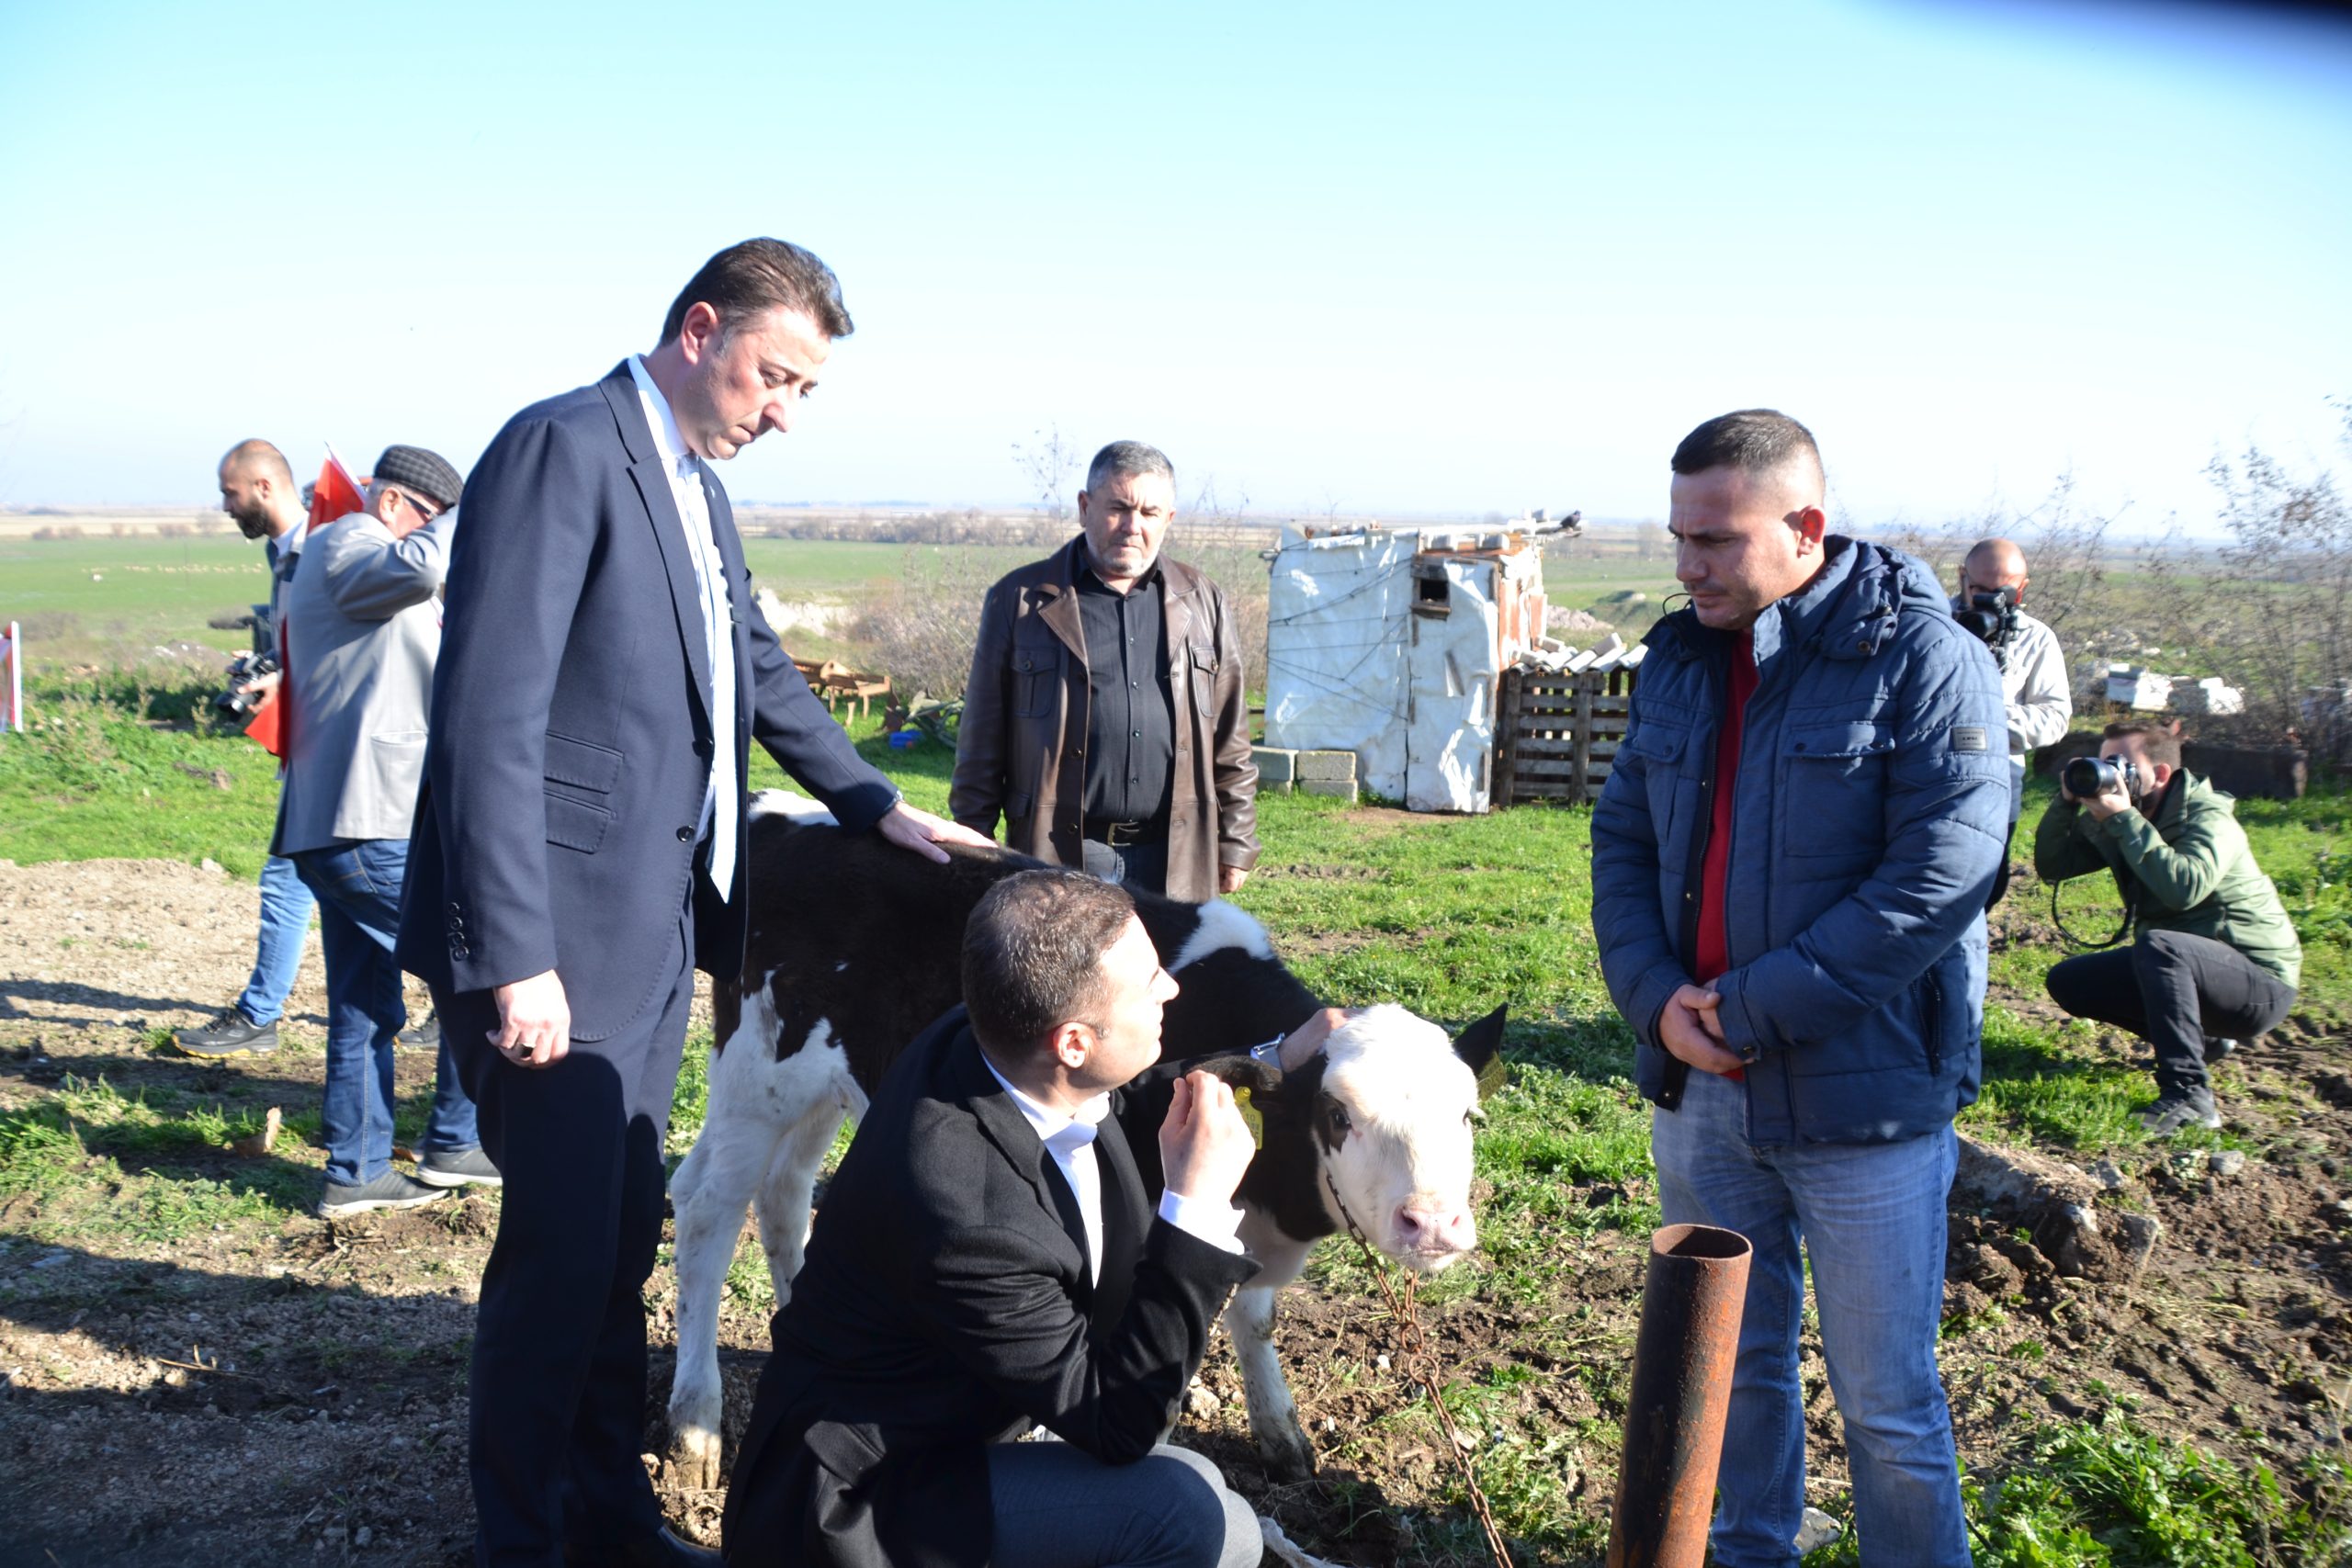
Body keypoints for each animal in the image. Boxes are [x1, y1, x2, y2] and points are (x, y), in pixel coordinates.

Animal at [662, 789, 1505, 1495]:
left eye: (1467, 1115)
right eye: (1338, 1115)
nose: (1433, 1222)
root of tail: (776, 812)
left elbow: (1255, 1317)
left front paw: (1281, 1434)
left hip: (823, 1086)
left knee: (781, 1193)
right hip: (758, 1075)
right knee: (707, 1208)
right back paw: (695, 1422)